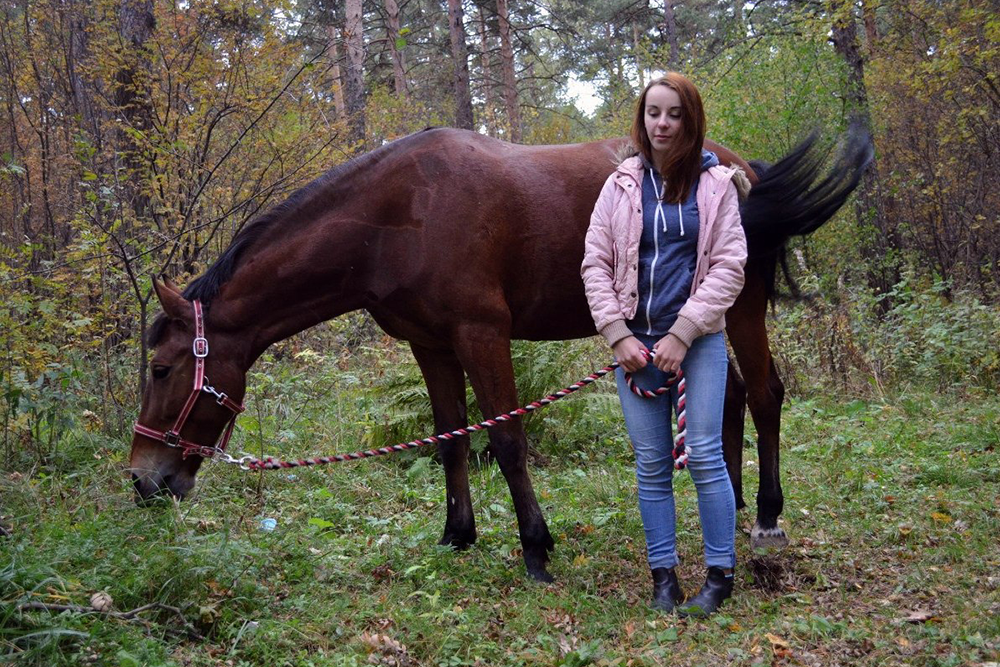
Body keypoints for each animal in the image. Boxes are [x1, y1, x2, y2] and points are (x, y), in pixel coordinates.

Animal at [131, 126, 868, 584]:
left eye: (162, 370)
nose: (144, 480)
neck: (398, 216)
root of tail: (744, 167)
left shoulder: (482, 334)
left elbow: (508, 440)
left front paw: (536, 548)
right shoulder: (431, 344)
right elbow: (451, 439)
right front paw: (457, 534)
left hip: (739, 306)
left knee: (766, 394)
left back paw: (766, 514)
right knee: (734, 396)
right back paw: (733, 504)